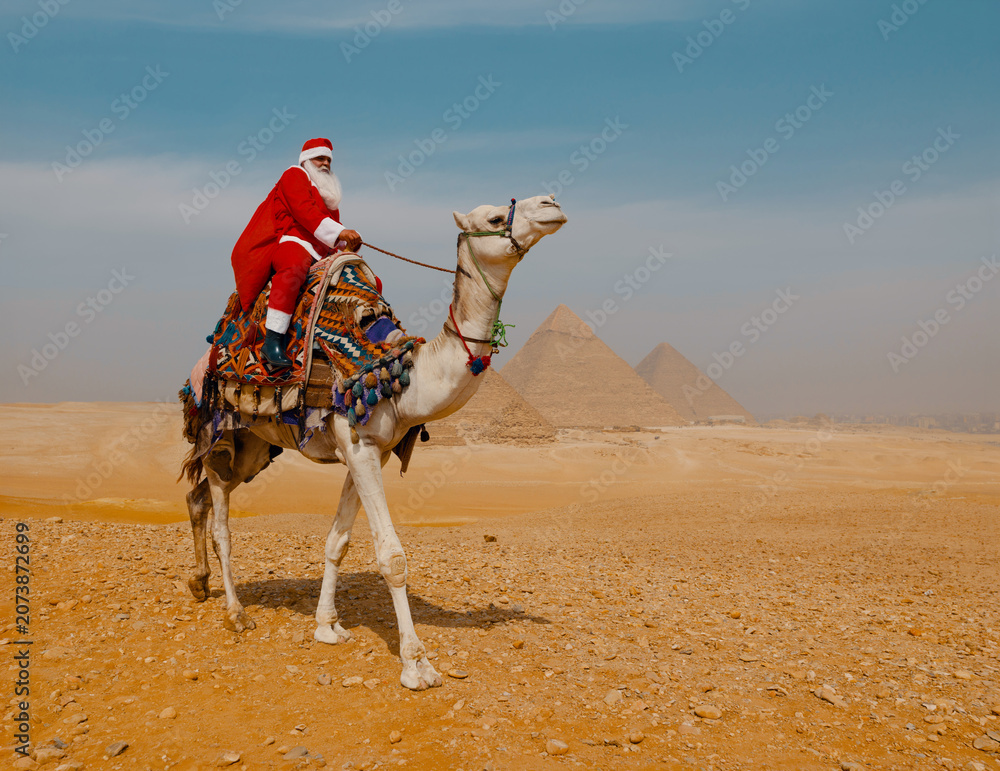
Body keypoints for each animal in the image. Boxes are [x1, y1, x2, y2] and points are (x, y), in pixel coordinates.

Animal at [180, 194, 567, 690]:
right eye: (496, 217)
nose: (551, 204)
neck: (402, 378)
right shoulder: (359, 447)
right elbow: (392, 557)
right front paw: (417, 664)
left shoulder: (369, 453)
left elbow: (338, 541)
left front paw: (327, 626)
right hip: (219, 428)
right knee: (221, 523)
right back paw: (235, 613)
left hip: (253, 447)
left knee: (198, 497)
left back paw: (200, 583)